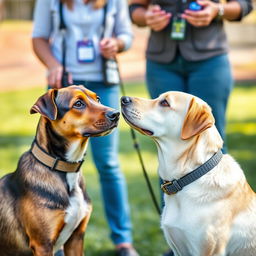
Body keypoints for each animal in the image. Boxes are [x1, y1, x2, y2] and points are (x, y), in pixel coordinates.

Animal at [0, 86, 119, 256]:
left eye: (98, 99)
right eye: (78, 104)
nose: (116, 113)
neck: (67, 170)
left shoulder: (76, 238)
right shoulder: (43, 244)